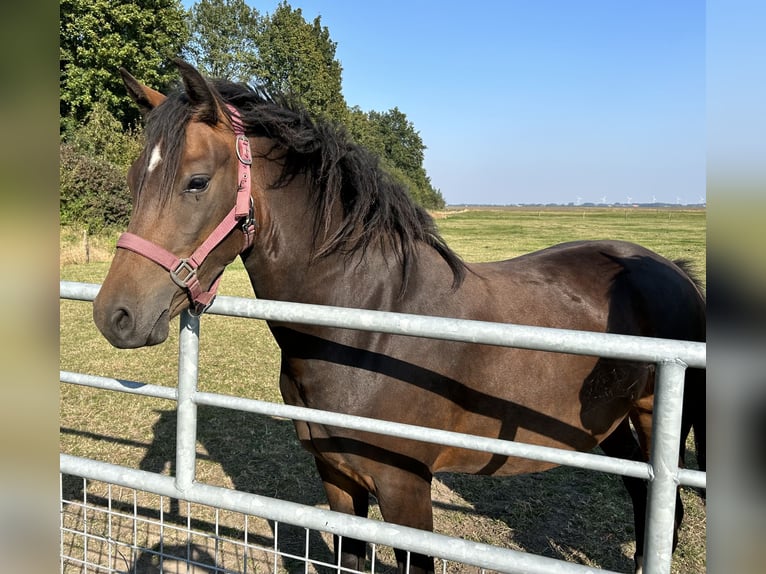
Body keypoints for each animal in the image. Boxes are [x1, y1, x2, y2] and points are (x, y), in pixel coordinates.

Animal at [94, 59, 708, 574]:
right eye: (132, 180)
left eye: (196, 182)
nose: (114, 315)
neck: (368, 325)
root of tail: (674, 271)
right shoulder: (337, 478)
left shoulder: (405, 490)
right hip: (612, 425)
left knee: (665, 510)